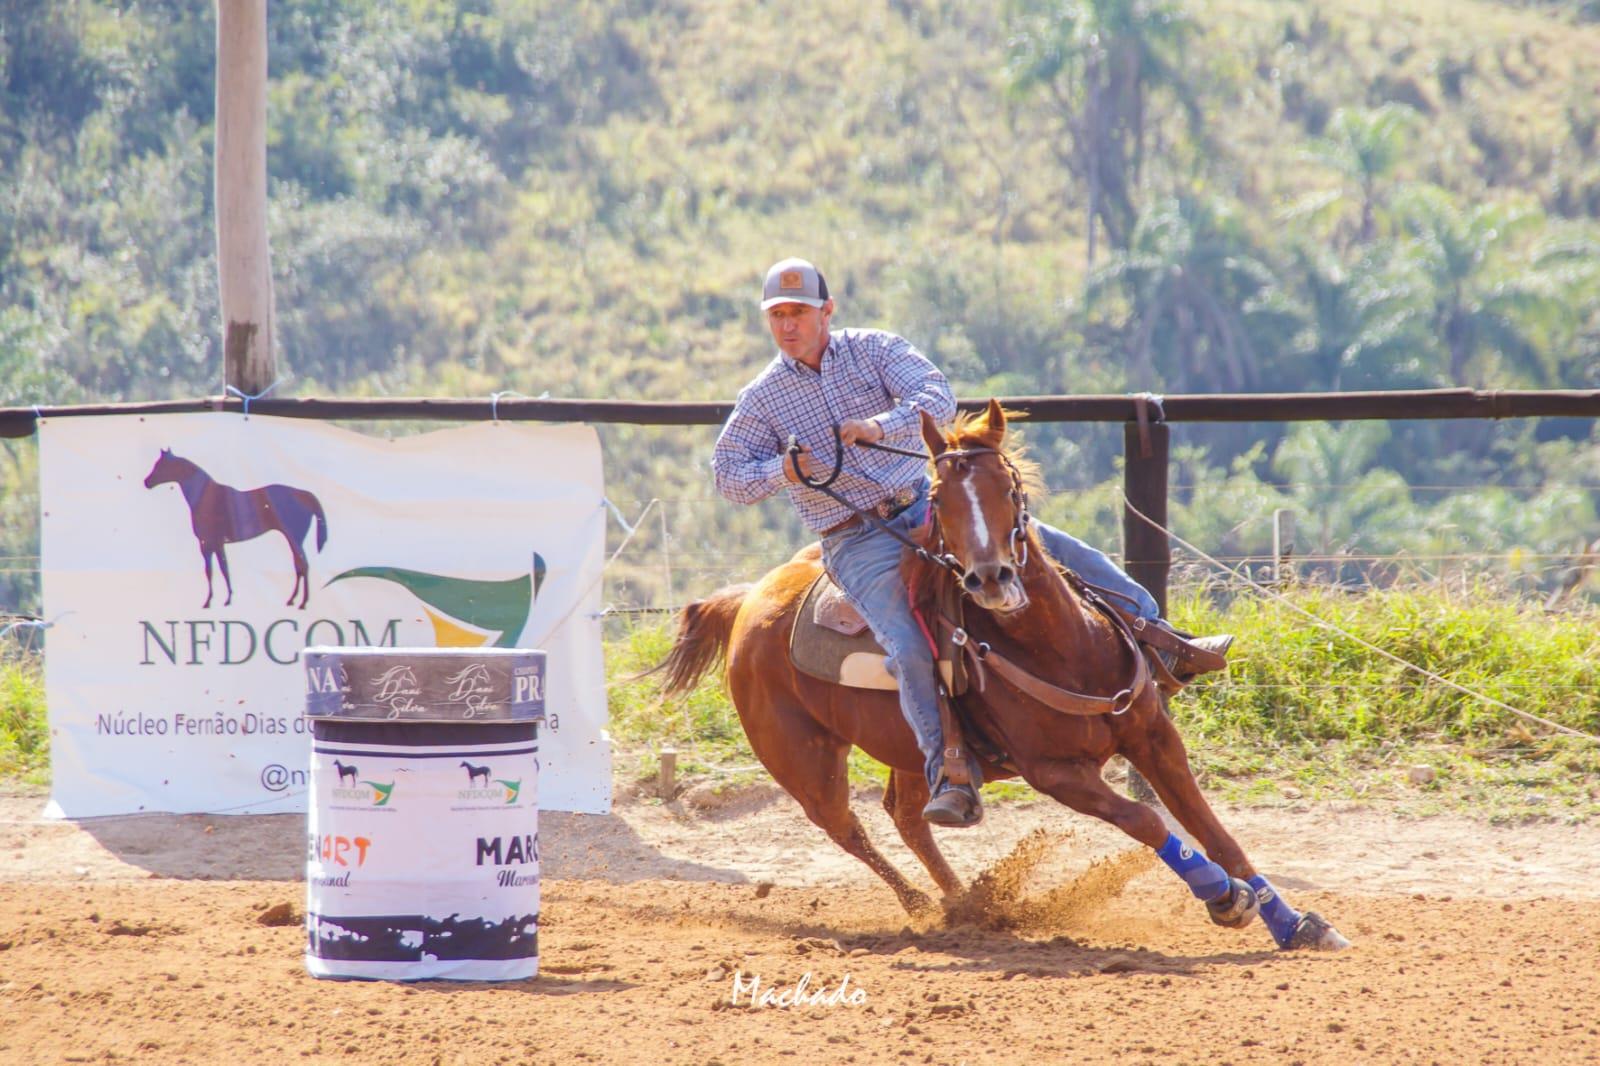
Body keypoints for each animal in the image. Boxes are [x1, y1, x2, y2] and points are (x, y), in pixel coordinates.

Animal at [143, 449, 328, 609]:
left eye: (160, 465)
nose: (146, 482)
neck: (208, 498)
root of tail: (302, 494)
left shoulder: (206, 543)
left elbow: (211, 571)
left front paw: (211, 602)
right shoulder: (217, 544)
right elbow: (223, 569)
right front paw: (226, 599)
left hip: (294, 538)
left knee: (303, 565)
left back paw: (302, 603)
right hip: (293, 539)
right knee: (299, 566)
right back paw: (292, 600)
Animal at [656, 399, 1347, 951]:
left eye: (1008, 490)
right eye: (940, 500)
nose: (990, 579)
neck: (1063, 648)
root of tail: (747, 600)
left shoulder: (1154, 736)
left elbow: (1214, 829)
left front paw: (1295, 924)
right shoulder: (1055, 773)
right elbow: (1147, 822)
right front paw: (1224, 897)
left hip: (912, 749)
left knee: (910, 815)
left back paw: (966, 903)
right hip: (803, 762)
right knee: (847, 828)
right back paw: (930, 908)